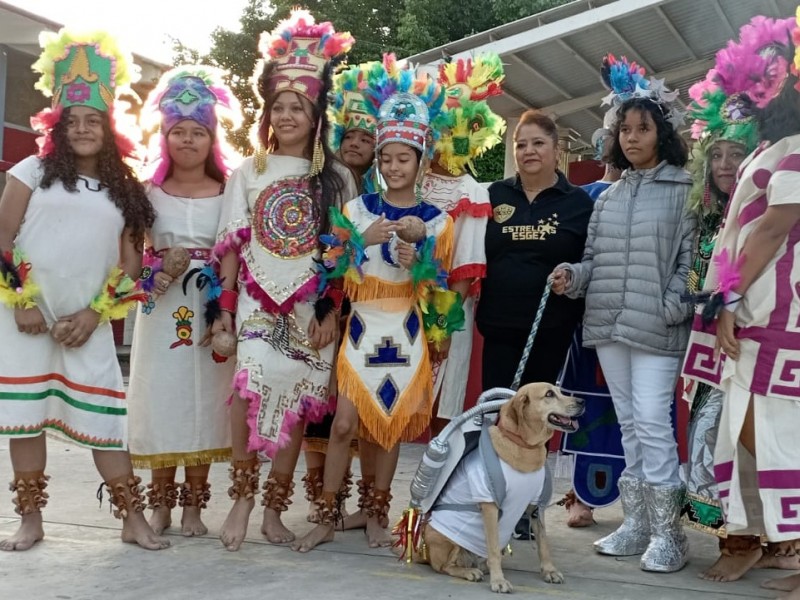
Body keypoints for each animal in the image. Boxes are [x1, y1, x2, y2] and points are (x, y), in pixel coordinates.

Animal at [418, 382, 580, 592]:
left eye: (560, 390)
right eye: (549, 394)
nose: (583, 401)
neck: (525, 446)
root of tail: (426, 554)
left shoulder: (536, 506)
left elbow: (543, 544)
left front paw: (549, 571)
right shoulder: (489, 505)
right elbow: (493, 548)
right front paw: (498, 581)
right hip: (443, 538)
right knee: (444, 567)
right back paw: (469, 572)